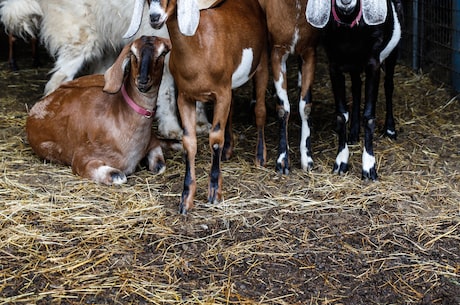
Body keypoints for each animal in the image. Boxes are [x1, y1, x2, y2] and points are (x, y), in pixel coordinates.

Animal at [26, 35, 172, 183]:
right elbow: (119, 176)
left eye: (162, 53)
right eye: (133, 53)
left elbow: (160, 166)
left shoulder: (151, 142)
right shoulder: (82, 158)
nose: (142, 80)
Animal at [126, 0, 270, 214]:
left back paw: (260, 157)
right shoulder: (185, 97)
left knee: (260, 110)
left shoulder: (221, 93)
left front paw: (214, 193)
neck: (200, 45)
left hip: (261, 64)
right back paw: (228, 151)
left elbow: (215, 138)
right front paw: (186, 200)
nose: (154, 17)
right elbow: (189, 142)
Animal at [258, 0, 320, 173]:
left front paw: (307, 159)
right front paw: (282, 161)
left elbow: (306, 107)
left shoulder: (310, 51)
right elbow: (283, 109)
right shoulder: (277, 52)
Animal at [308, 0, 404, 180]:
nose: (346, 2)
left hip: (393, 52)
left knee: (388, 86)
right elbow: (341, 115)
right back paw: (353, 133)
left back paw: (390, 130)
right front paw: (341, 162)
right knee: (356, 87)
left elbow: (369, 116)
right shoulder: (334, 67)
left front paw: (369, 167)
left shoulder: (373, 64)